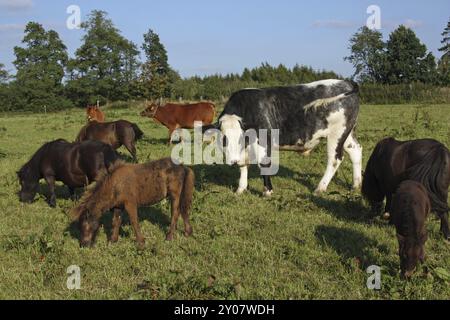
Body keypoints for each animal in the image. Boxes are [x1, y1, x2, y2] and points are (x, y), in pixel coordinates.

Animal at [214, 79, 362, 196]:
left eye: (240, 138)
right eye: (223, 139)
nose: (233, 161)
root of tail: (346, 82)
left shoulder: (263, 141)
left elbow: (263, 163)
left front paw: (267, 191)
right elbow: (244, 165)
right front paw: (240, 189)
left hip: (336, 134)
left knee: (335, 159)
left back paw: (320, 188)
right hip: (347, 133)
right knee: (355, 150)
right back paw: (356, 185)